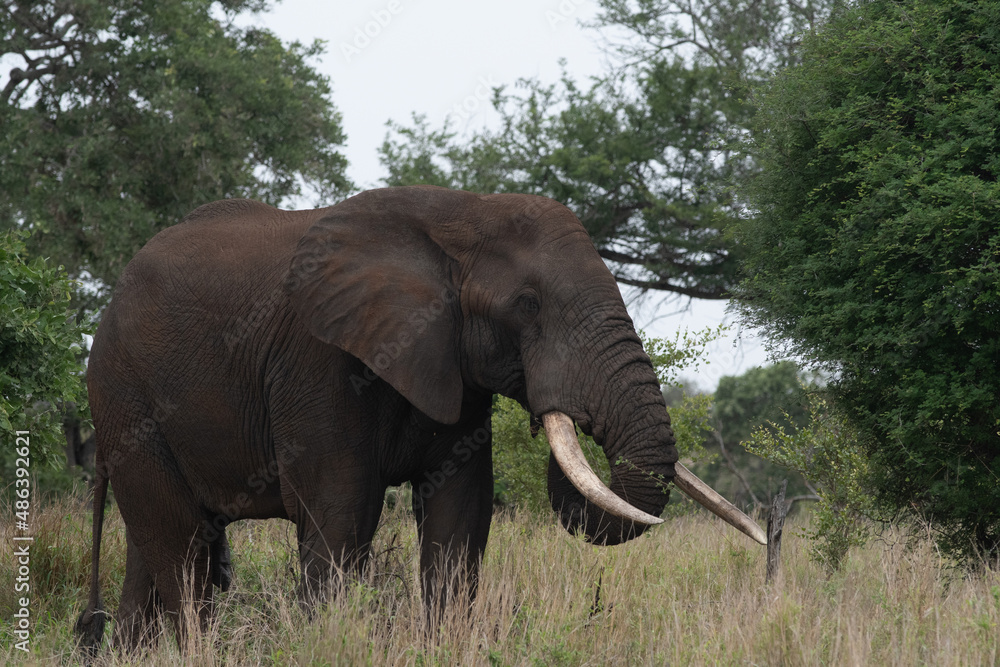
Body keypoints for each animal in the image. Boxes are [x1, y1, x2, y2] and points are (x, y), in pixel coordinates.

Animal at [75, 186, 763, 651]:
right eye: (527, 304)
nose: (558, 413)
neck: (460, 214)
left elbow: (461, 510)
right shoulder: (321, 361)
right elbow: (340, 510)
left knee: (156, 539)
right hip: (123, 392)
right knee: (180, 540)